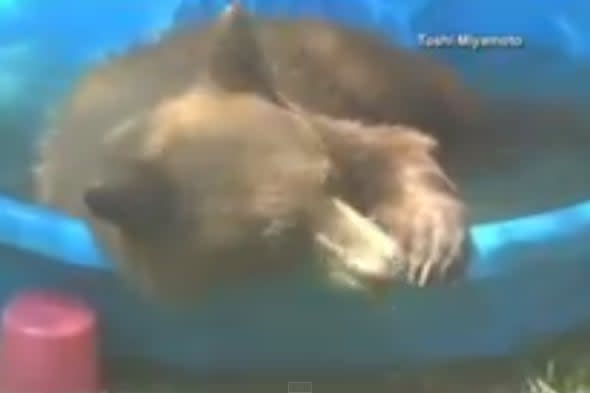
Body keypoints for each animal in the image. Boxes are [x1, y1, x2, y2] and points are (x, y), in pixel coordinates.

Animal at [34, 2, 472, 304]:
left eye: (329, 179)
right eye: (280, 235)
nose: (385, 265)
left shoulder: (310, 114)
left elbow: (390, 146)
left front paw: (430, 245)